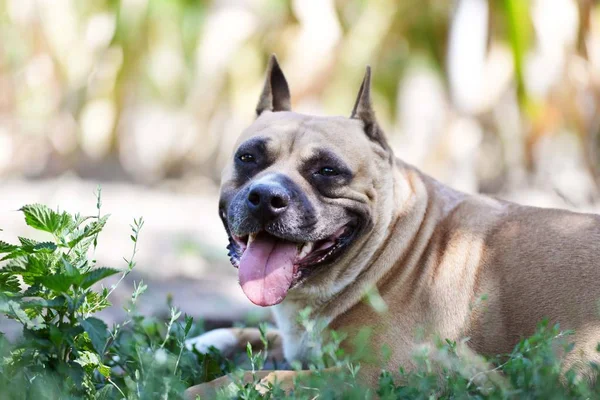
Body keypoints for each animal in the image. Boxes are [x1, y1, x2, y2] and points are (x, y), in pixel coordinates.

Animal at [184, 55, 600, 396]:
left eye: (328, 171)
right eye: (248, 157)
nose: (267, 197)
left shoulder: (378, 373)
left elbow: (266, 377)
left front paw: (206, 388)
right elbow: (251, 335)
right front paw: (201, 341)